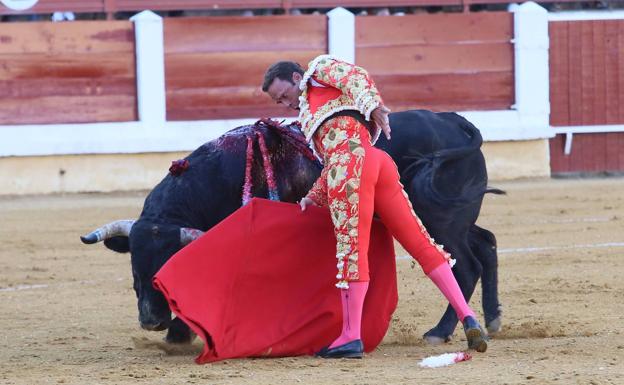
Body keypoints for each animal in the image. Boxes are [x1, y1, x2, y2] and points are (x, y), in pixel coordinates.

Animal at [81, 109, 502, 344]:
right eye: (135, 268)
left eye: (162, 267)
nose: (151, 322)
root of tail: (455, 122)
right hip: (457, 216)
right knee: (486, 244)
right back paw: (492, 320)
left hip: (439, 219)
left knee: (463, 265)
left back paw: (442, 331)